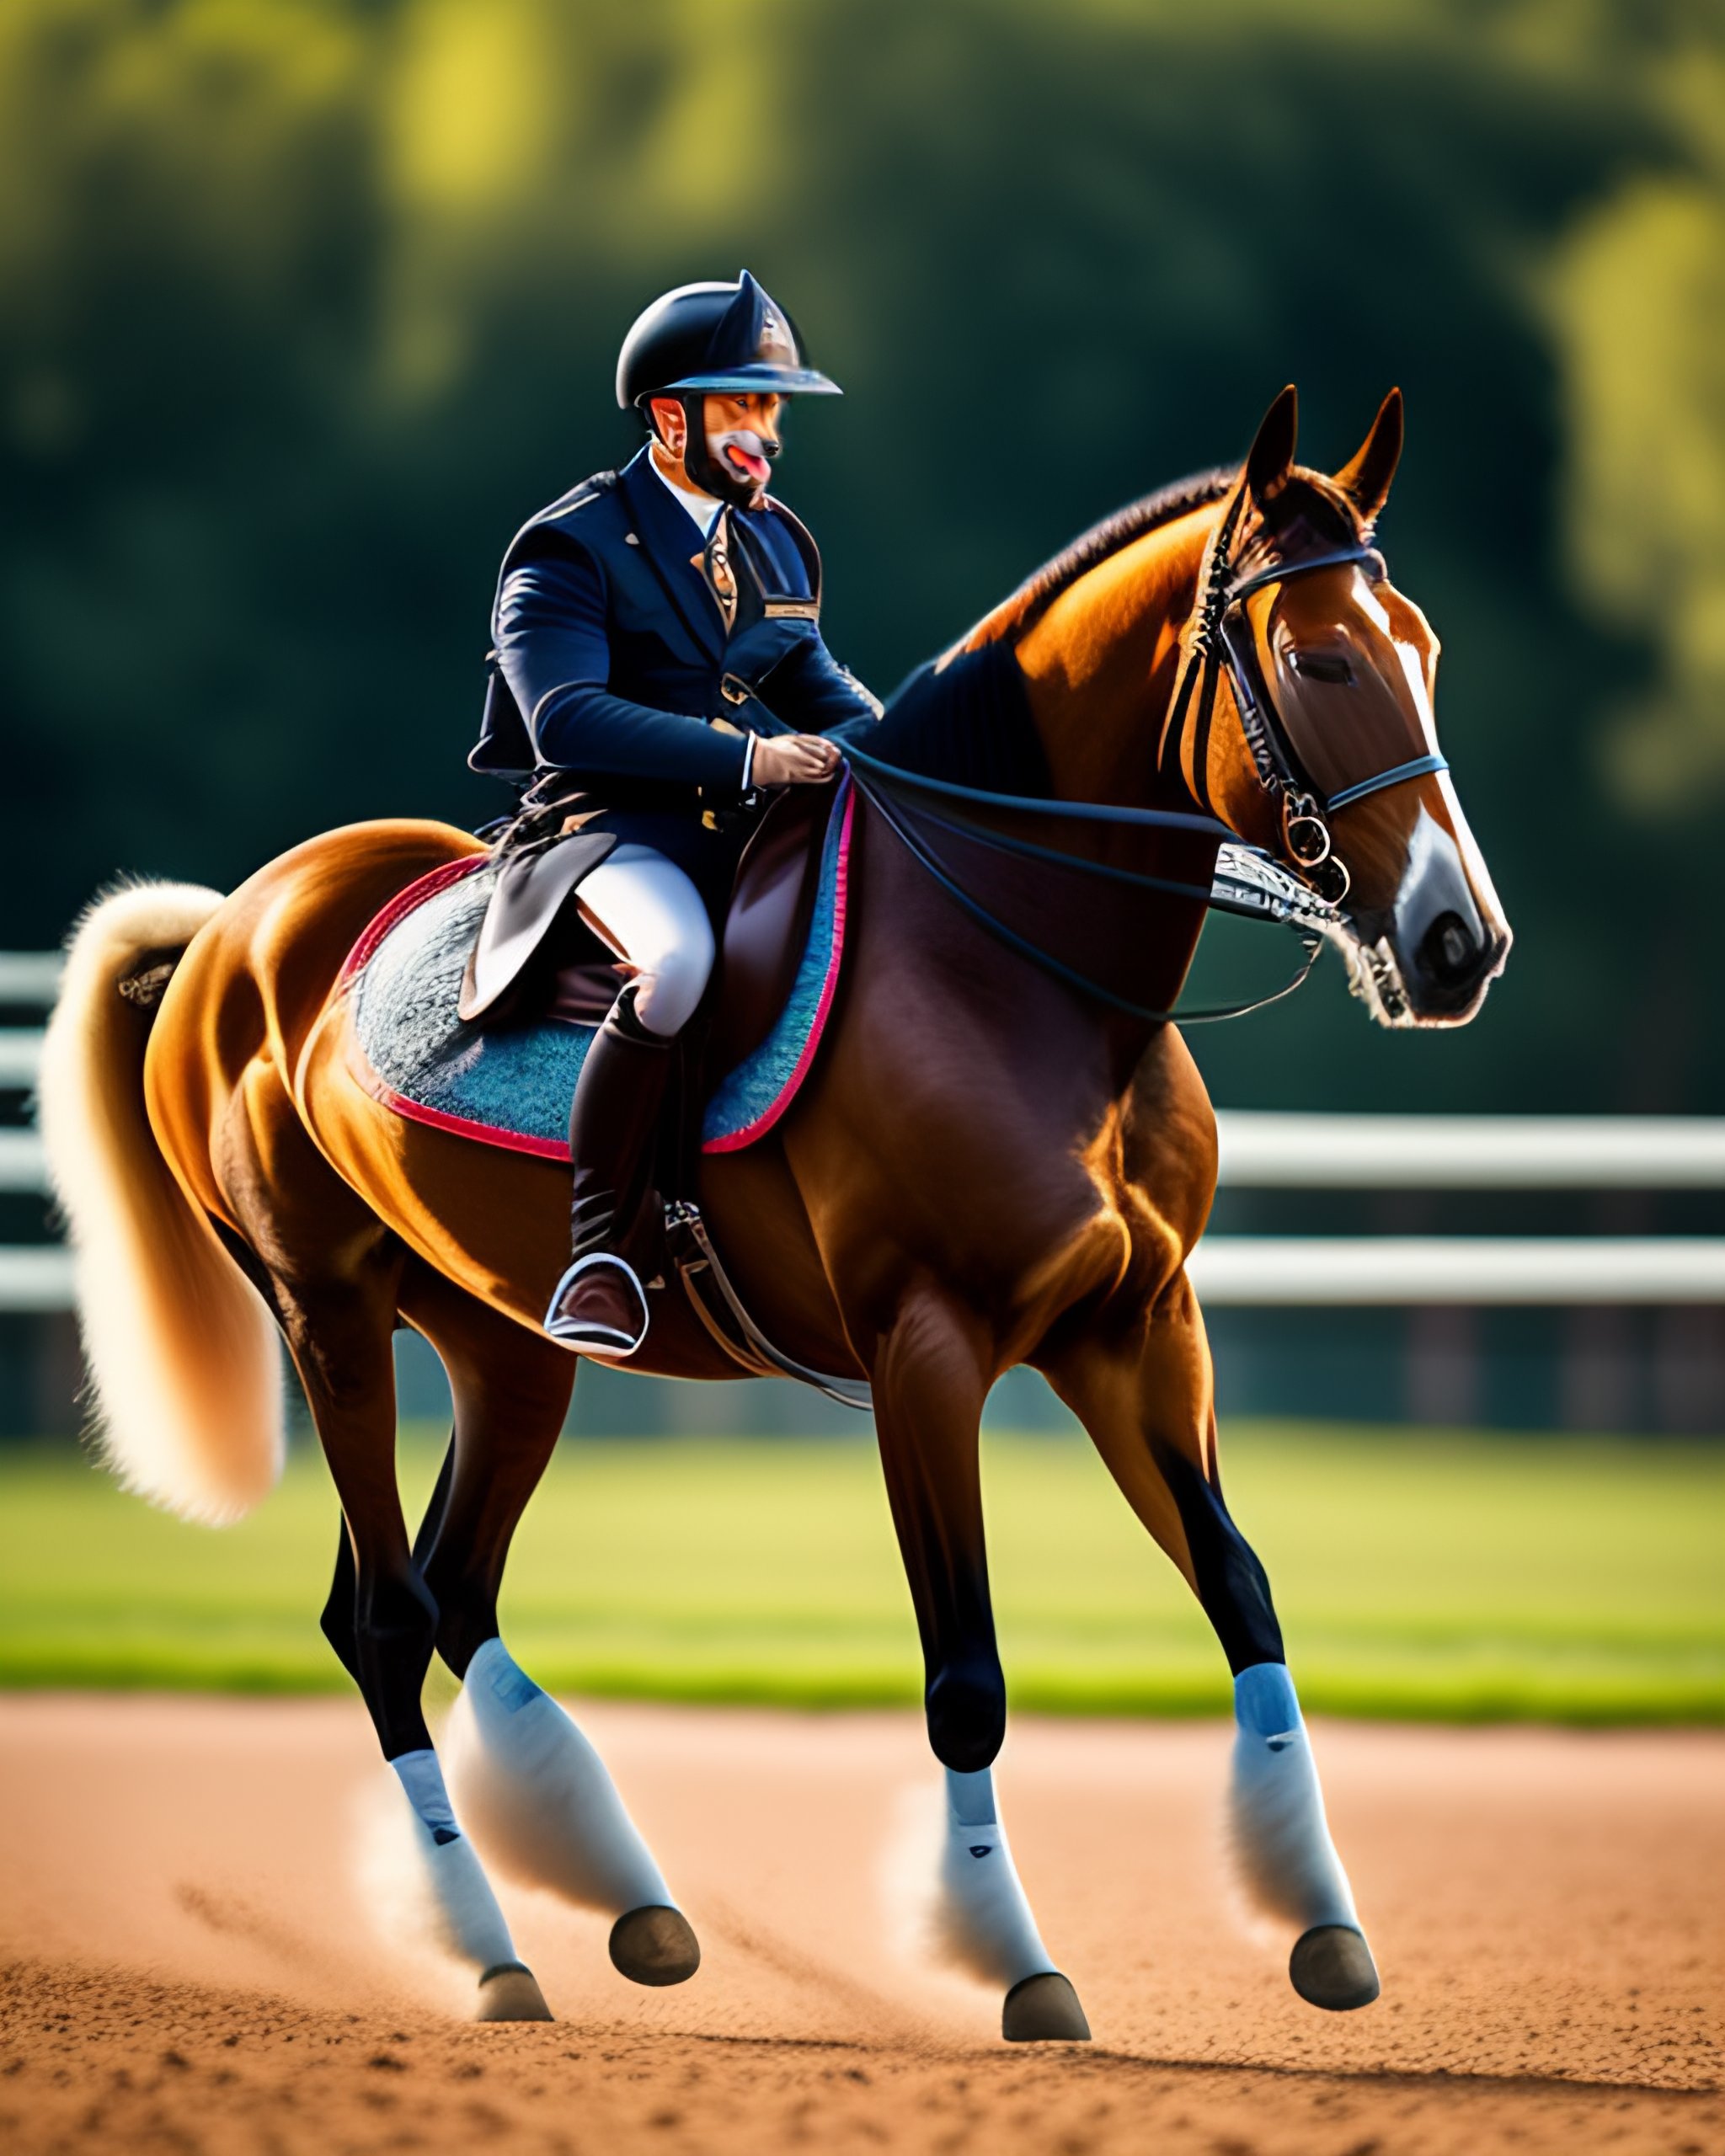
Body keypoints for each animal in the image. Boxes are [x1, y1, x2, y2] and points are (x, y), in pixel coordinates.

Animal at [41, 385, 1509, 2041]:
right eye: (1320, 660)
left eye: (1421, 647)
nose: (1456, 943)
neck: (1023, 975)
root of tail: (235, 926)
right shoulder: (926, 1353)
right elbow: (965, 1676)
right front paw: (1014, 1964)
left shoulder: (1138, 1330)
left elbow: (1244, 1597)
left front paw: (1320, 1919)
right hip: (331, 1315)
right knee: (388, 1623)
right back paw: (488, 1949)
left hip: (509, 1346)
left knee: (455, 1591)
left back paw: (630, 1902)